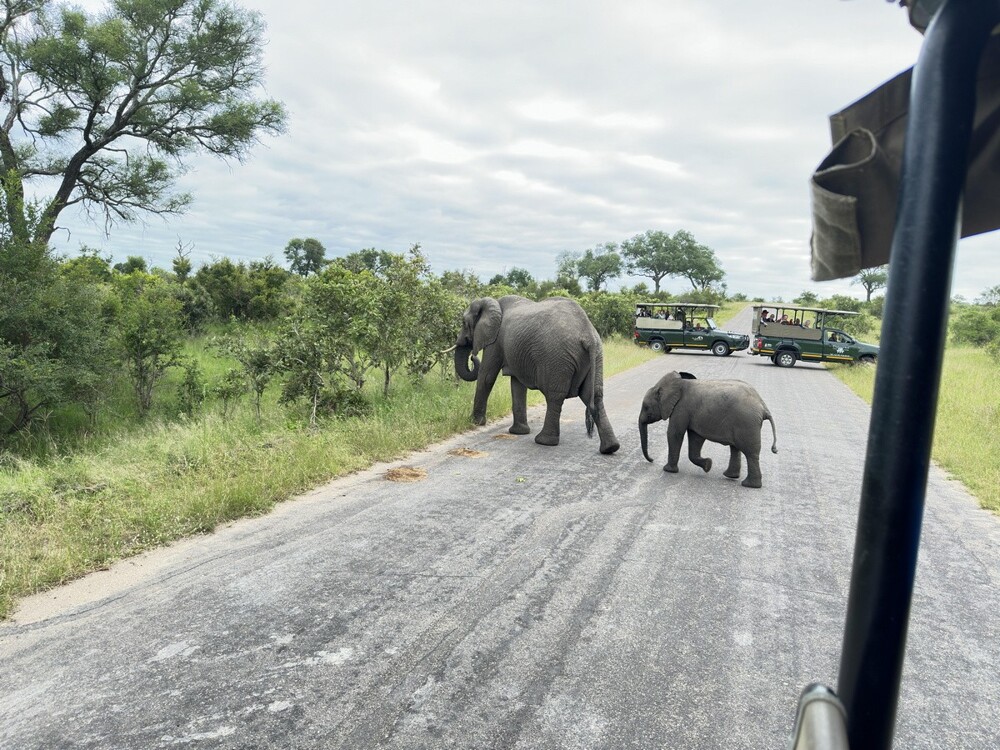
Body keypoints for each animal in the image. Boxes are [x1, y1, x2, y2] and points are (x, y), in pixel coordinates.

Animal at [454, 296, 616, 456]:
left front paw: (475, 422)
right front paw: (518, 432)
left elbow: (487, 377)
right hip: (596, 355)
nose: (472, 357)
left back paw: (543, 441)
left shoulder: (496, 340)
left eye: (463, 323)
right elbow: (517, 384)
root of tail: (588, 334)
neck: (493, 303)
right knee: (594, 395)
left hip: (557, 358)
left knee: (555, 396)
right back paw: (610, 448)